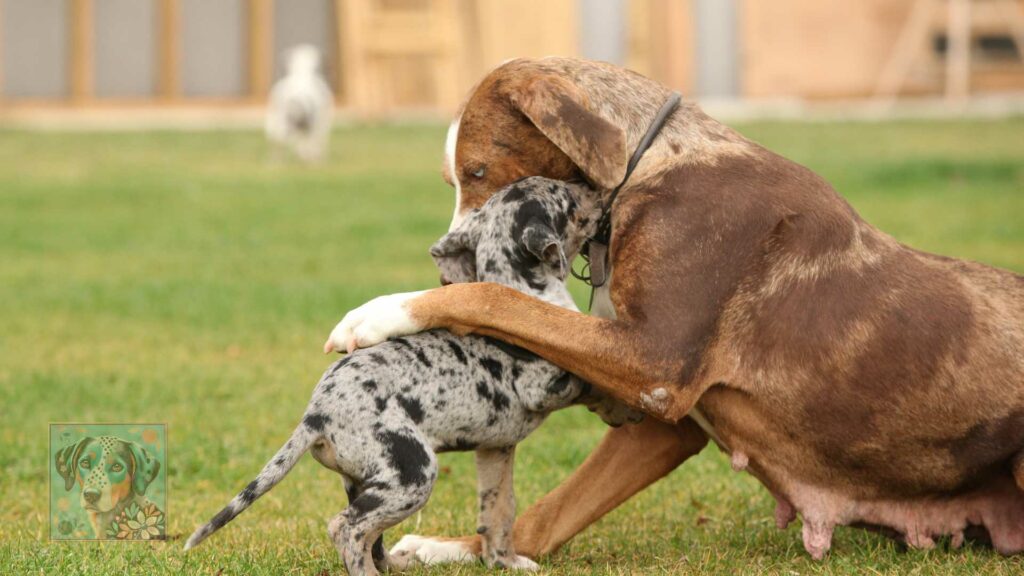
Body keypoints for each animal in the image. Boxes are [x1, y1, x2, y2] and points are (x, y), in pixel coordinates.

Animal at [180, 176, 634, 573]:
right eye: (568, 199)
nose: (597, 188)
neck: (524, 289)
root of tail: (316, 415)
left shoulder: (496, 450)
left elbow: (498, 513)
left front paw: (504, 562)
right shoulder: (545, 385)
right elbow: (588, 380)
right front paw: (621, 401)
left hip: (367, 481)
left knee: (369, 536)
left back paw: (396, 564)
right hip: (411, 474)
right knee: (347, 528)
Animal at [323, 57, 1024, 561]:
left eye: (475, 171)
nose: (445, 258)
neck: (647, 168)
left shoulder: (653, 363)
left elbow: (493, 296)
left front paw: (384, 312)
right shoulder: (663, 420)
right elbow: (551, 512)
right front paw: (458, 547)